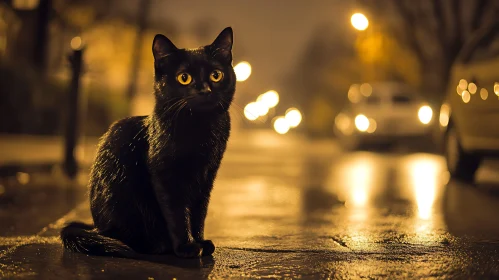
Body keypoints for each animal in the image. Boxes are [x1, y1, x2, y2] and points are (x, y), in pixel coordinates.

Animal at [60, 26, 236, 258]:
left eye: (216, 75)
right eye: (184, 78)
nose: (205, 90)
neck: (201, 128)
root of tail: (95, 227)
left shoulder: (207, 175)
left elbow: (199, 212)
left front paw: (199, 241)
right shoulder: (165, 176)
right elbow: (178, 214)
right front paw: (186, 246)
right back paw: (156, 245)